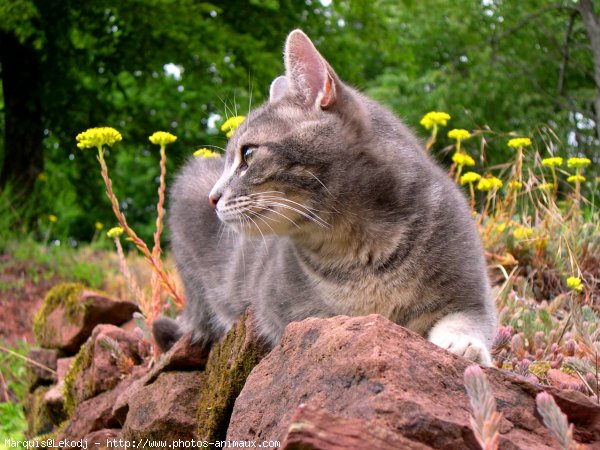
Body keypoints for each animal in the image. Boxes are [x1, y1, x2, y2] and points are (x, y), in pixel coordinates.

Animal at [154, 29, 496, 366]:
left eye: (248, 154)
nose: (213, 198)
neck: (360, 249)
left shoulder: (472, 291)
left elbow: (468, 321)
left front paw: (463, 345)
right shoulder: (279, 310)